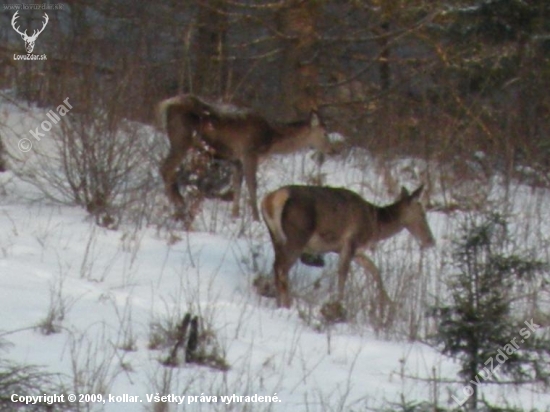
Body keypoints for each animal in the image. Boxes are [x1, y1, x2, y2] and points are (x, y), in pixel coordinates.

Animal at [157, 93, 334, 222]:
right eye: (325, 133)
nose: (332, 150)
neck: (270, 138)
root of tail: (166, 104)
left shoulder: (236, 159)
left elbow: (237, 183)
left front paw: (234, 216)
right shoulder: (250, 152)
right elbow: (252, 185)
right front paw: (256, 219)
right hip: (181, 138)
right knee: (166, 169)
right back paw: (179, 206)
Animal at [260, 185, 438, 308]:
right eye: (422, 213)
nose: (431, 241)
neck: (375, 224)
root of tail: (271, 200)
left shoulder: (356, 251)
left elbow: (375, 271)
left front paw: (391, 303)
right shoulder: (350, 242)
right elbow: (343, 274)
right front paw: (339, 304)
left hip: (276, 237)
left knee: (276, 267)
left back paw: (279, 302)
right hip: (297, 236)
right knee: (282, 269)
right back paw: (287, 303)